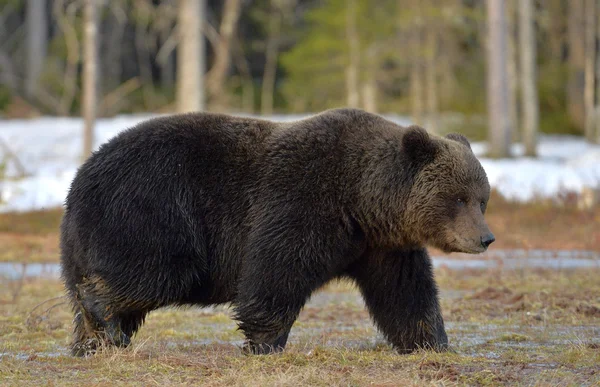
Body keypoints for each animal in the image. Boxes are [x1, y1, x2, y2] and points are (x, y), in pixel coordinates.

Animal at [59, 107, 492, 356]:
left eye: (482, 198)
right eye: (458, 198)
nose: (485, 238)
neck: (361, 200)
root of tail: (80, 177)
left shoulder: (380, 246)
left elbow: (406, 293)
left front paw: (431, 342)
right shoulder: (303, 201)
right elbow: (276, 269)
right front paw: (264, 342)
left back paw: (92, 342)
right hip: (153, 211)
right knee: (156, 272)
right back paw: (104, 315)